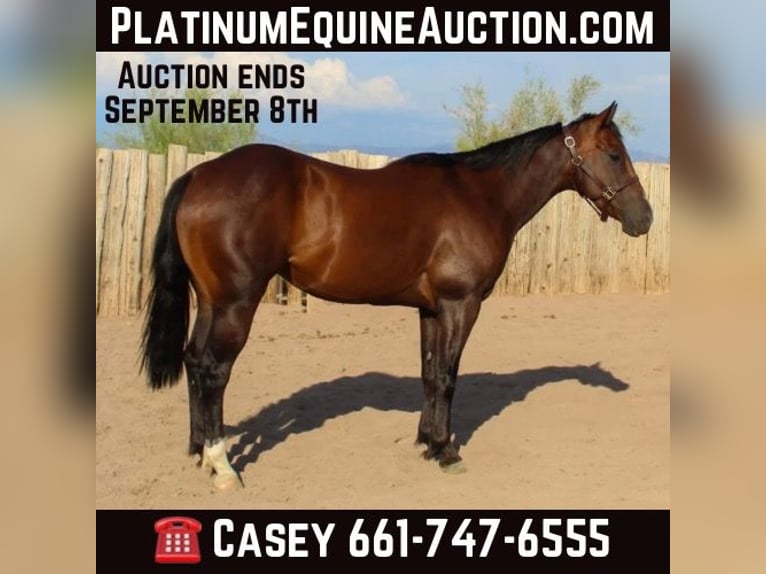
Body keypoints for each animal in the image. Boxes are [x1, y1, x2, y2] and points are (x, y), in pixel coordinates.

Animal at [140, 102, 653, 491]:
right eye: (613, 155)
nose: (644, 218)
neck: (482, 196)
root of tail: (199, 175)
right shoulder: (460, 305)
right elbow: (447, 377)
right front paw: (447, 451)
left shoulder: (430, 309)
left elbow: (429, 374)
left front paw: (427, 441)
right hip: (235, 304)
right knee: (213, 370)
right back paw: (223, 465)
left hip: (211, 301)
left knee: (194, 361)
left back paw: (200, 451)